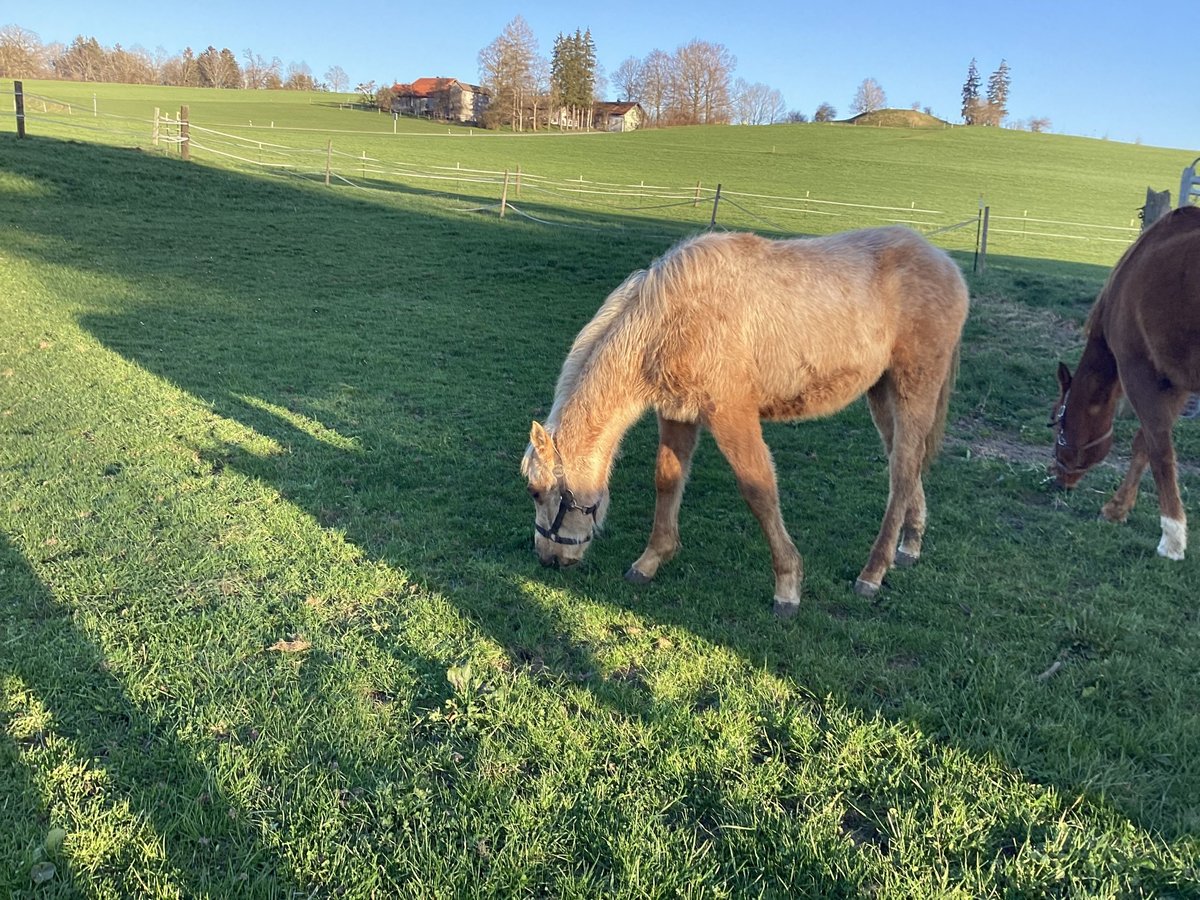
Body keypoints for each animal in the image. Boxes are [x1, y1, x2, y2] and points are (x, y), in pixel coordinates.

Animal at [522, 227, 969, 616]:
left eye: (536, 492)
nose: (548, 559)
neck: (675, 315)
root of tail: (946, 264)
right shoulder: (677, 413)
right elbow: (667, 480)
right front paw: (650, 561)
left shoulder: (731, 414)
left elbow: (759, 491)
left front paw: (787, 587)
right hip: (881, 392)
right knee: (906, 465)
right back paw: (909, 545)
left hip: (914, 389)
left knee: (902, 471)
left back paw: (872, 573)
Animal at [1050, 204, 1200, 560]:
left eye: (1057, 422)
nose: (1058, 478)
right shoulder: (1176, 383)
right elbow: (1143, 444)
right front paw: (1117, 508)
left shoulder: (1140, 372)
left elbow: (1159, 450)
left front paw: (1172, 537)